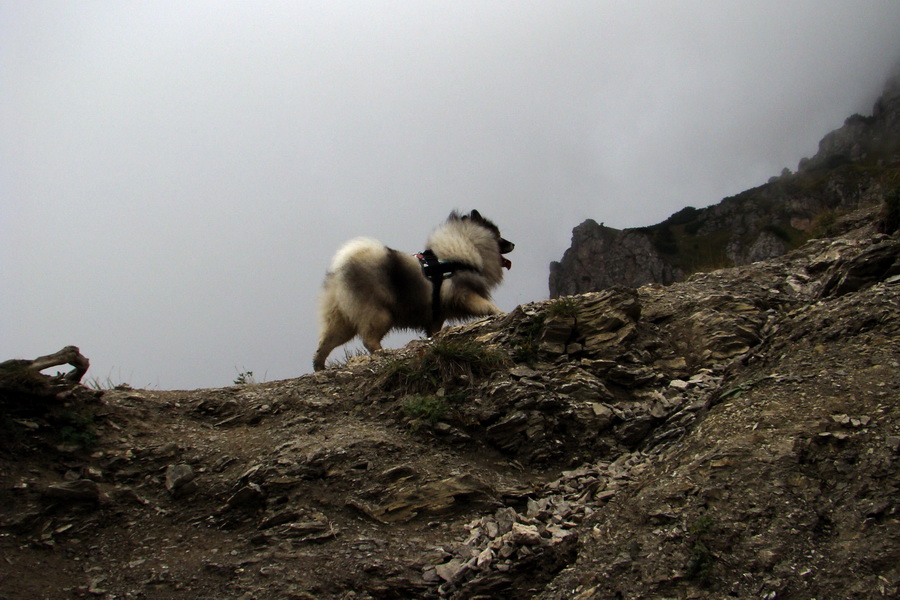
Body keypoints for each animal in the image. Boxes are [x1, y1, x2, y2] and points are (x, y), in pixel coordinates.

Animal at [314, 211, 512, 370]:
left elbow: (434, 331)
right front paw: (499, 313)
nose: (513, 244)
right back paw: (382, 353)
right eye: (499, 235)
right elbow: (486, 305)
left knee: (324, 344)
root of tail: (342, 269)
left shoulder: (437, 316)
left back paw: (319, 366)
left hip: (342, 321)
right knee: (368, 340)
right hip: (379, 314)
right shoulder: (464, 294)